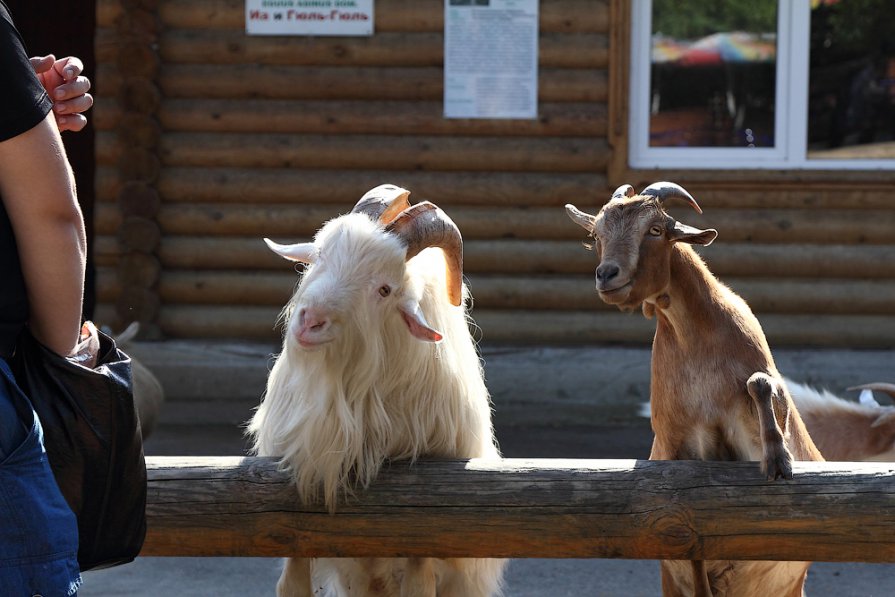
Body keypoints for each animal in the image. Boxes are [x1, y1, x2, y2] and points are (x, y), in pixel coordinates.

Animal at [568, 182, 824, 596]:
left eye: (655, 230)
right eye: (596, 236)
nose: (606, 275)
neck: (698, 346)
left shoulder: (765, 400)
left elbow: (758, 382)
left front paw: (778, 460)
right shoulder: (676, 450)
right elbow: (689, 535)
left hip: (790, 585)